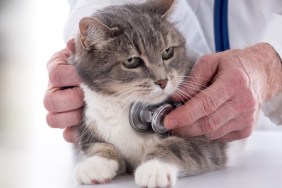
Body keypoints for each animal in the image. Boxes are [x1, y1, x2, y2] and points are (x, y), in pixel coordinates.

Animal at [70, 0, 229, 187]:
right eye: (131, 61)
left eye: (167, 52)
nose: (163, 81)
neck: (124, 105)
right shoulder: (91, 120)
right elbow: (95, 144)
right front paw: (96, 162)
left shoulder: (206, 131)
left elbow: (179, 145)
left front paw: (154, 167)